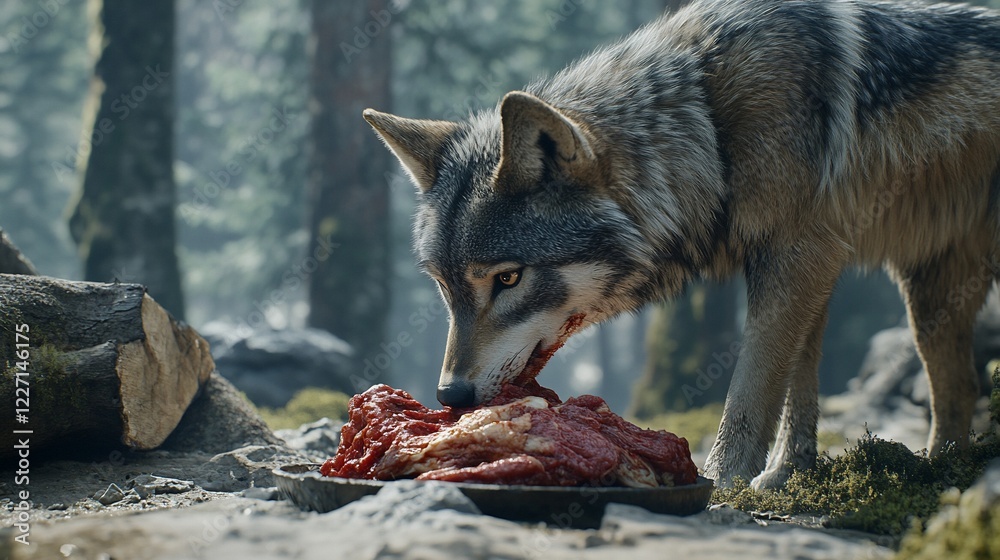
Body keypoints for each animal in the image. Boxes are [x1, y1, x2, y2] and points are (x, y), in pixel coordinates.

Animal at [363, 0, 1000, 488]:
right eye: (445, 286)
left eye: (508, 278)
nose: (451, 395)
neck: (710, 126)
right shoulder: (808, 260)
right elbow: (798, 381)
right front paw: (786, 474)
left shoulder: (799, 255)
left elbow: (753, 384)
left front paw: (725, 477)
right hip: (930, 297)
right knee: (960, 386)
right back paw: (943, 470)